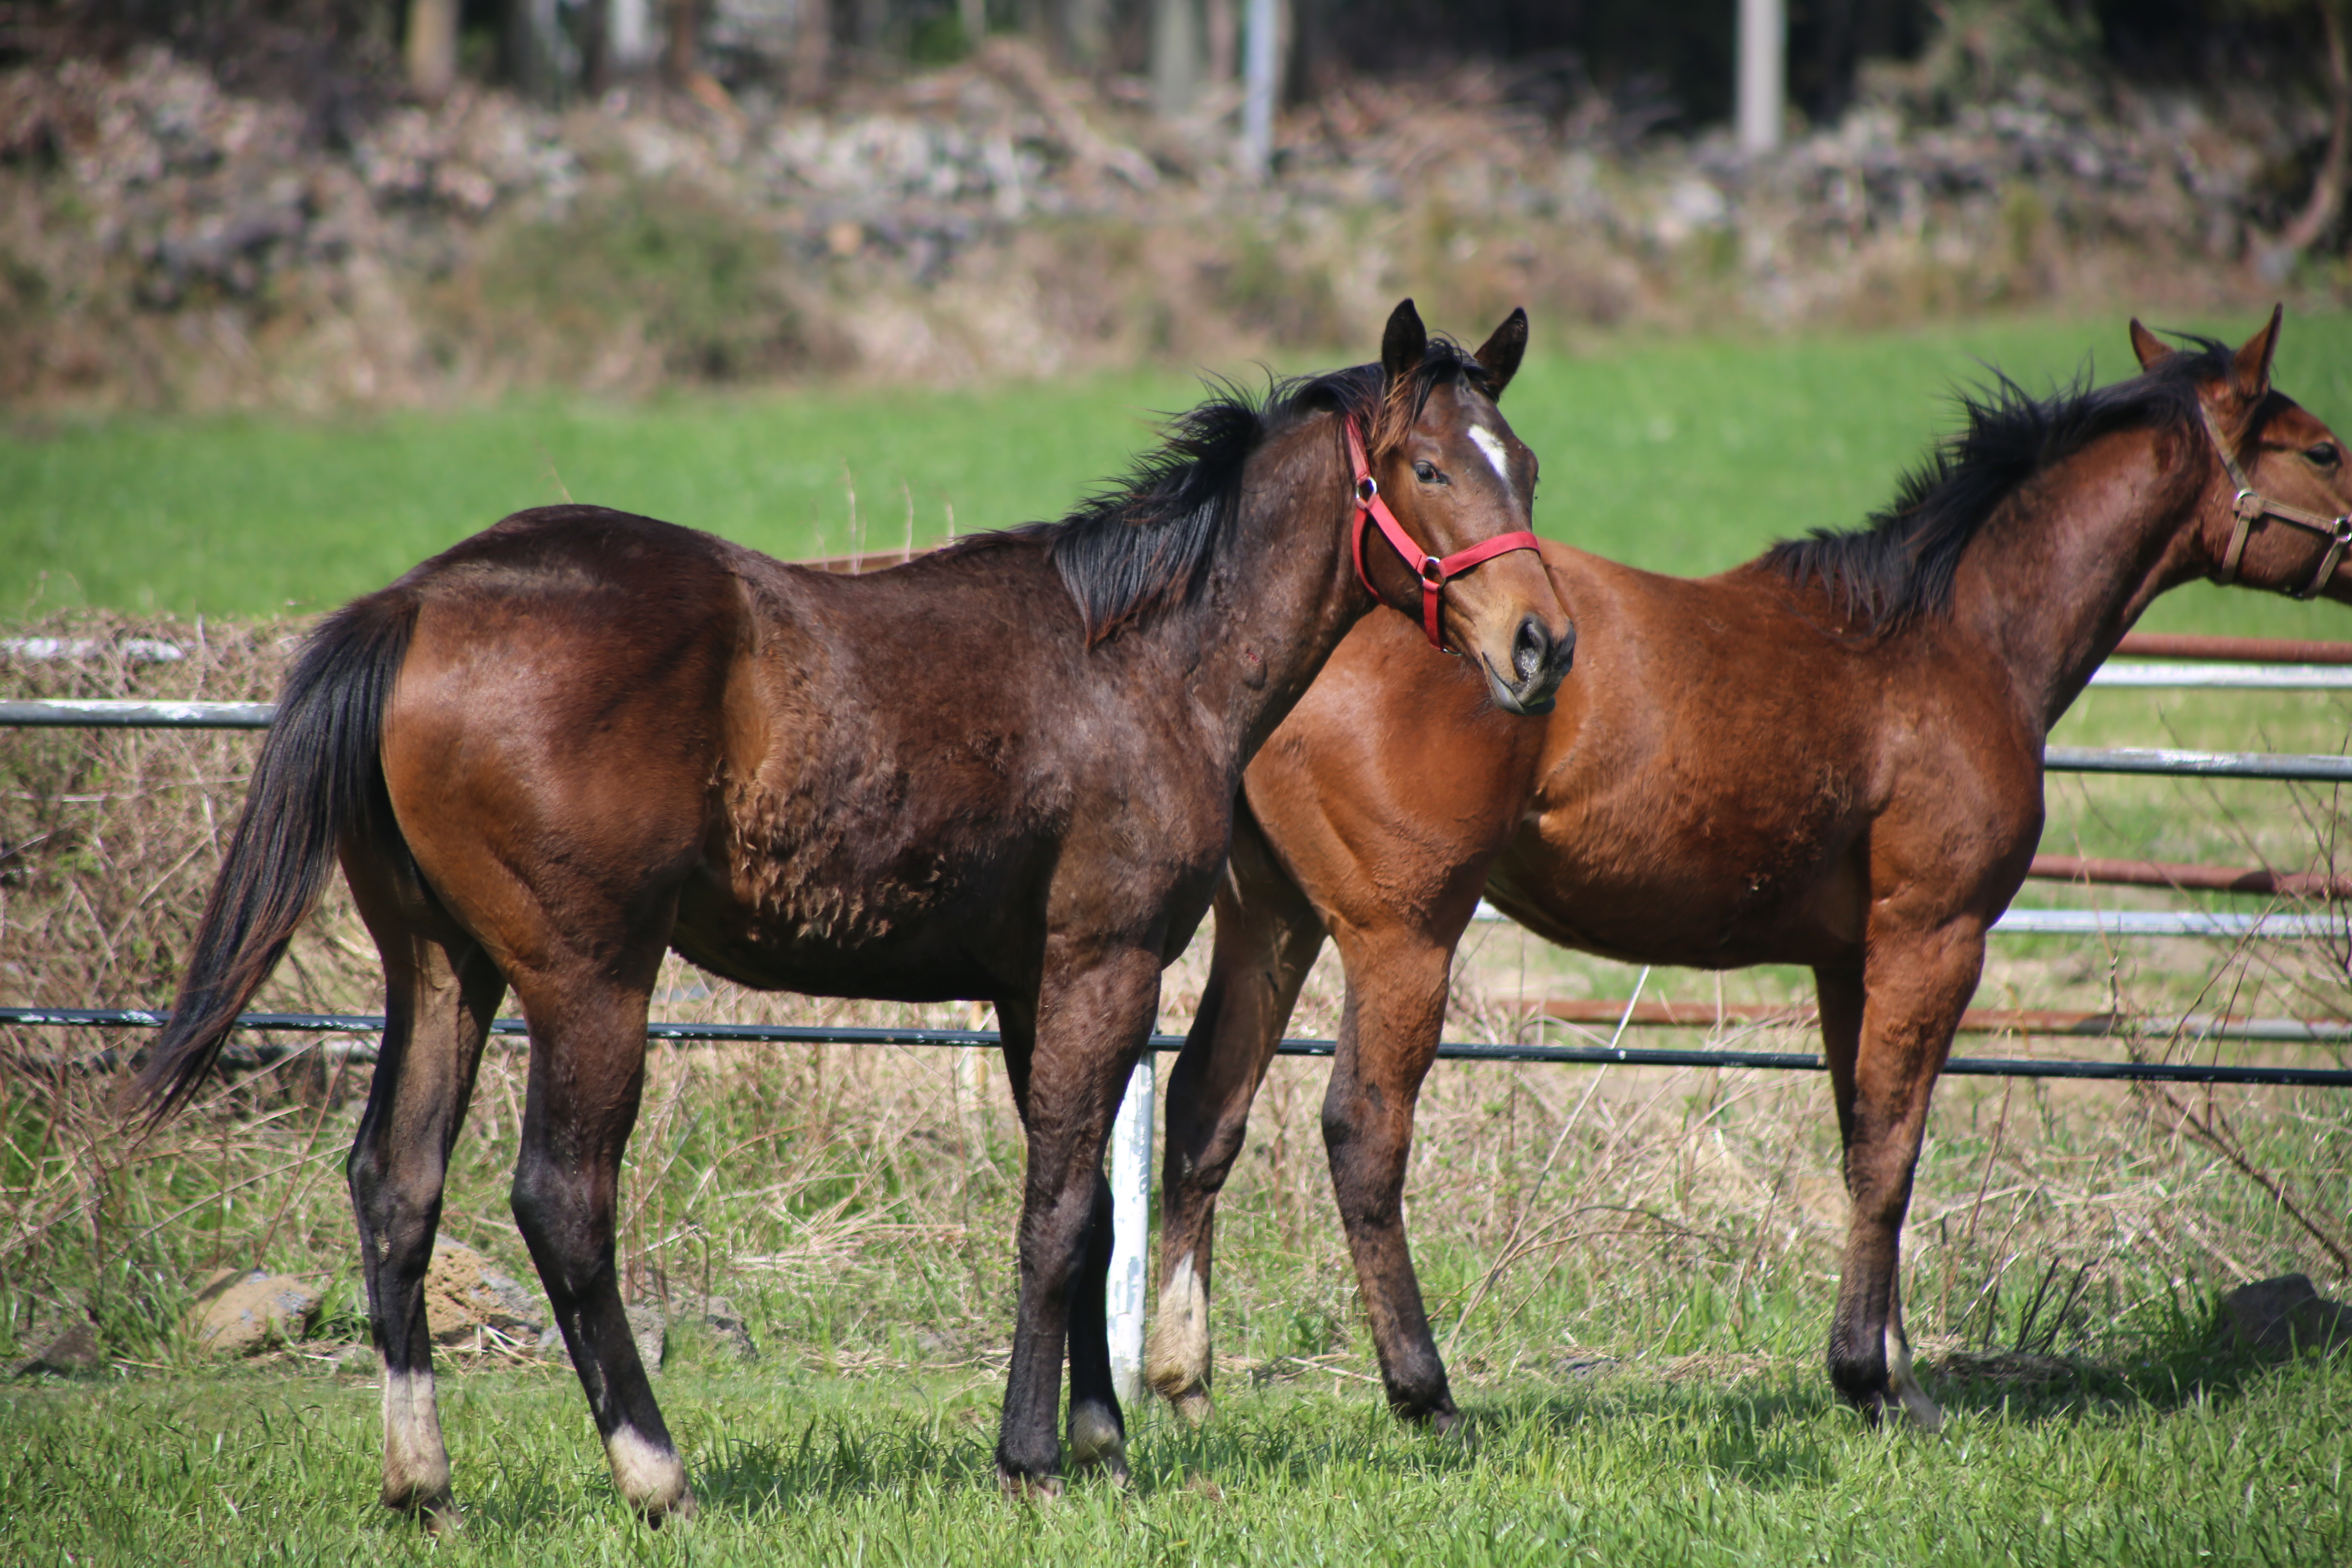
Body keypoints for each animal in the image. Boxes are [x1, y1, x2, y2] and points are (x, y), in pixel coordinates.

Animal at [137, 301, 1580, 1523]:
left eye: (1527, 466)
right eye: (1429, 469)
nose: (1543, 646)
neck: (1141, 663)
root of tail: (417, 601)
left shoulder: (1031, 980)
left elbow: (1086, 1209)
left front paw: (1102, 1444)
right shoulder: (1104, 961)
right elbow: (1059, 1212)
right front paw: (1033, 1457)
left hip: (442, 967)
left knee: (396, 1185)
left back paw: (422, 1483)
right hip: (588, 976)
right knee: (562, 1197)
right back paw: (657, 1473)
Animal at [1147, 305, 2352, 1439]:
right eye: (2323, 450)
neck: (1955, 639)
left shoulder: (1847, 962)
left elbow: (1863, 1135)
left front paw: (1891, 1370)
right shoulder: (1934, 939)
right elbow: (1893, 1149)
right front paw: (1870, 1378)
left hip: (1275, 920)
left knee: (1206, 1104)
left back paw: (1180, 1379)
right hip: (1402, 933)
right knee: (1363, 1129)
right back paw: (1424, 1391)